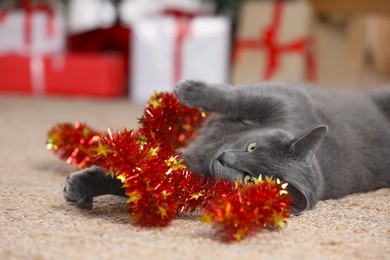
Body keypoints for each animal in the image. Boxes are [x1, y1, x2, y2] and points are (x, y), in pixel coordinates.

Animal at [62, 80, 390, 213]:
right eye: (253, 147)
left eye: (248, 180)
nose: (225, 158)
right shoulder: (288, 102)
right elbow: (242, 97)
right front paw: (189, 89)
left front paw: (81, 188)